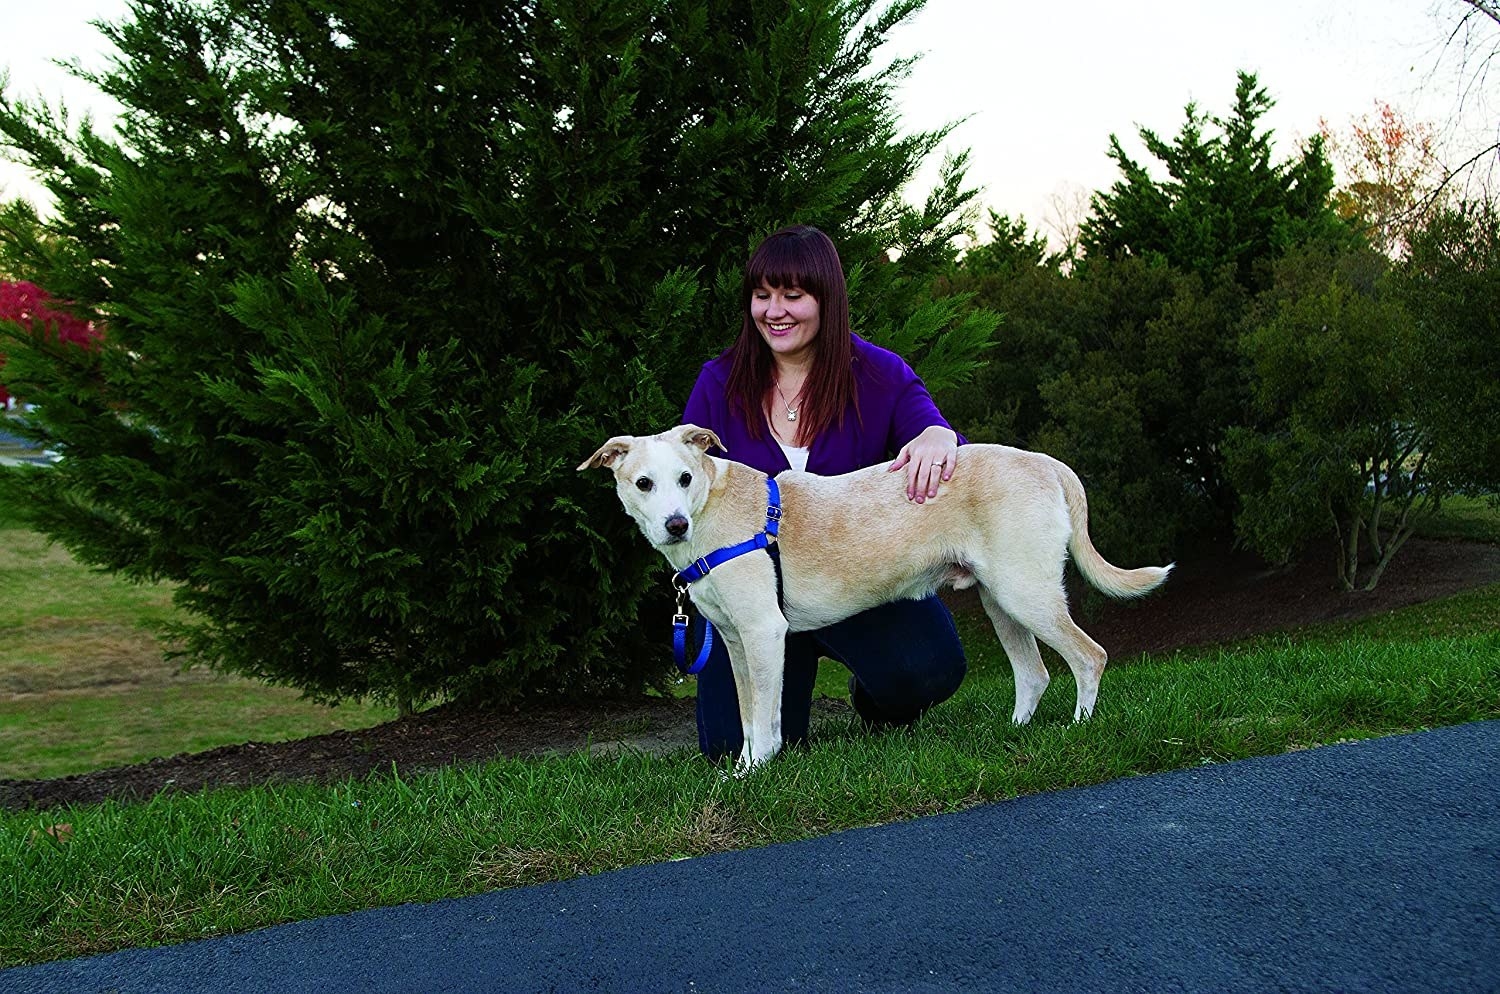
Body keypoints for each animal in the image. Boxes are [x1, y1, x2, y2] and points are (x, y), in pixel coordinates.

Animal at [576, 422, 1170, 773]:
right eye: (644, 484)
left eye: (683, 477)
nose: (675, 525)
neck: (709, 508)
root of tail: (1045, 461)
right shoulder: (736, 643)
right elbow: (745, 718)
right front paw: (744, 766)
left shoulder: (764, 634)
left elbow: (764, 719)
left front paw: (756, 772)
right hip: (1001, 600)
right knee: (1035, 673)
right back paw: (1016, 732)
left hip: (1026, 593)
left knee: (1089, 656)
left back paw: (1080, 729)